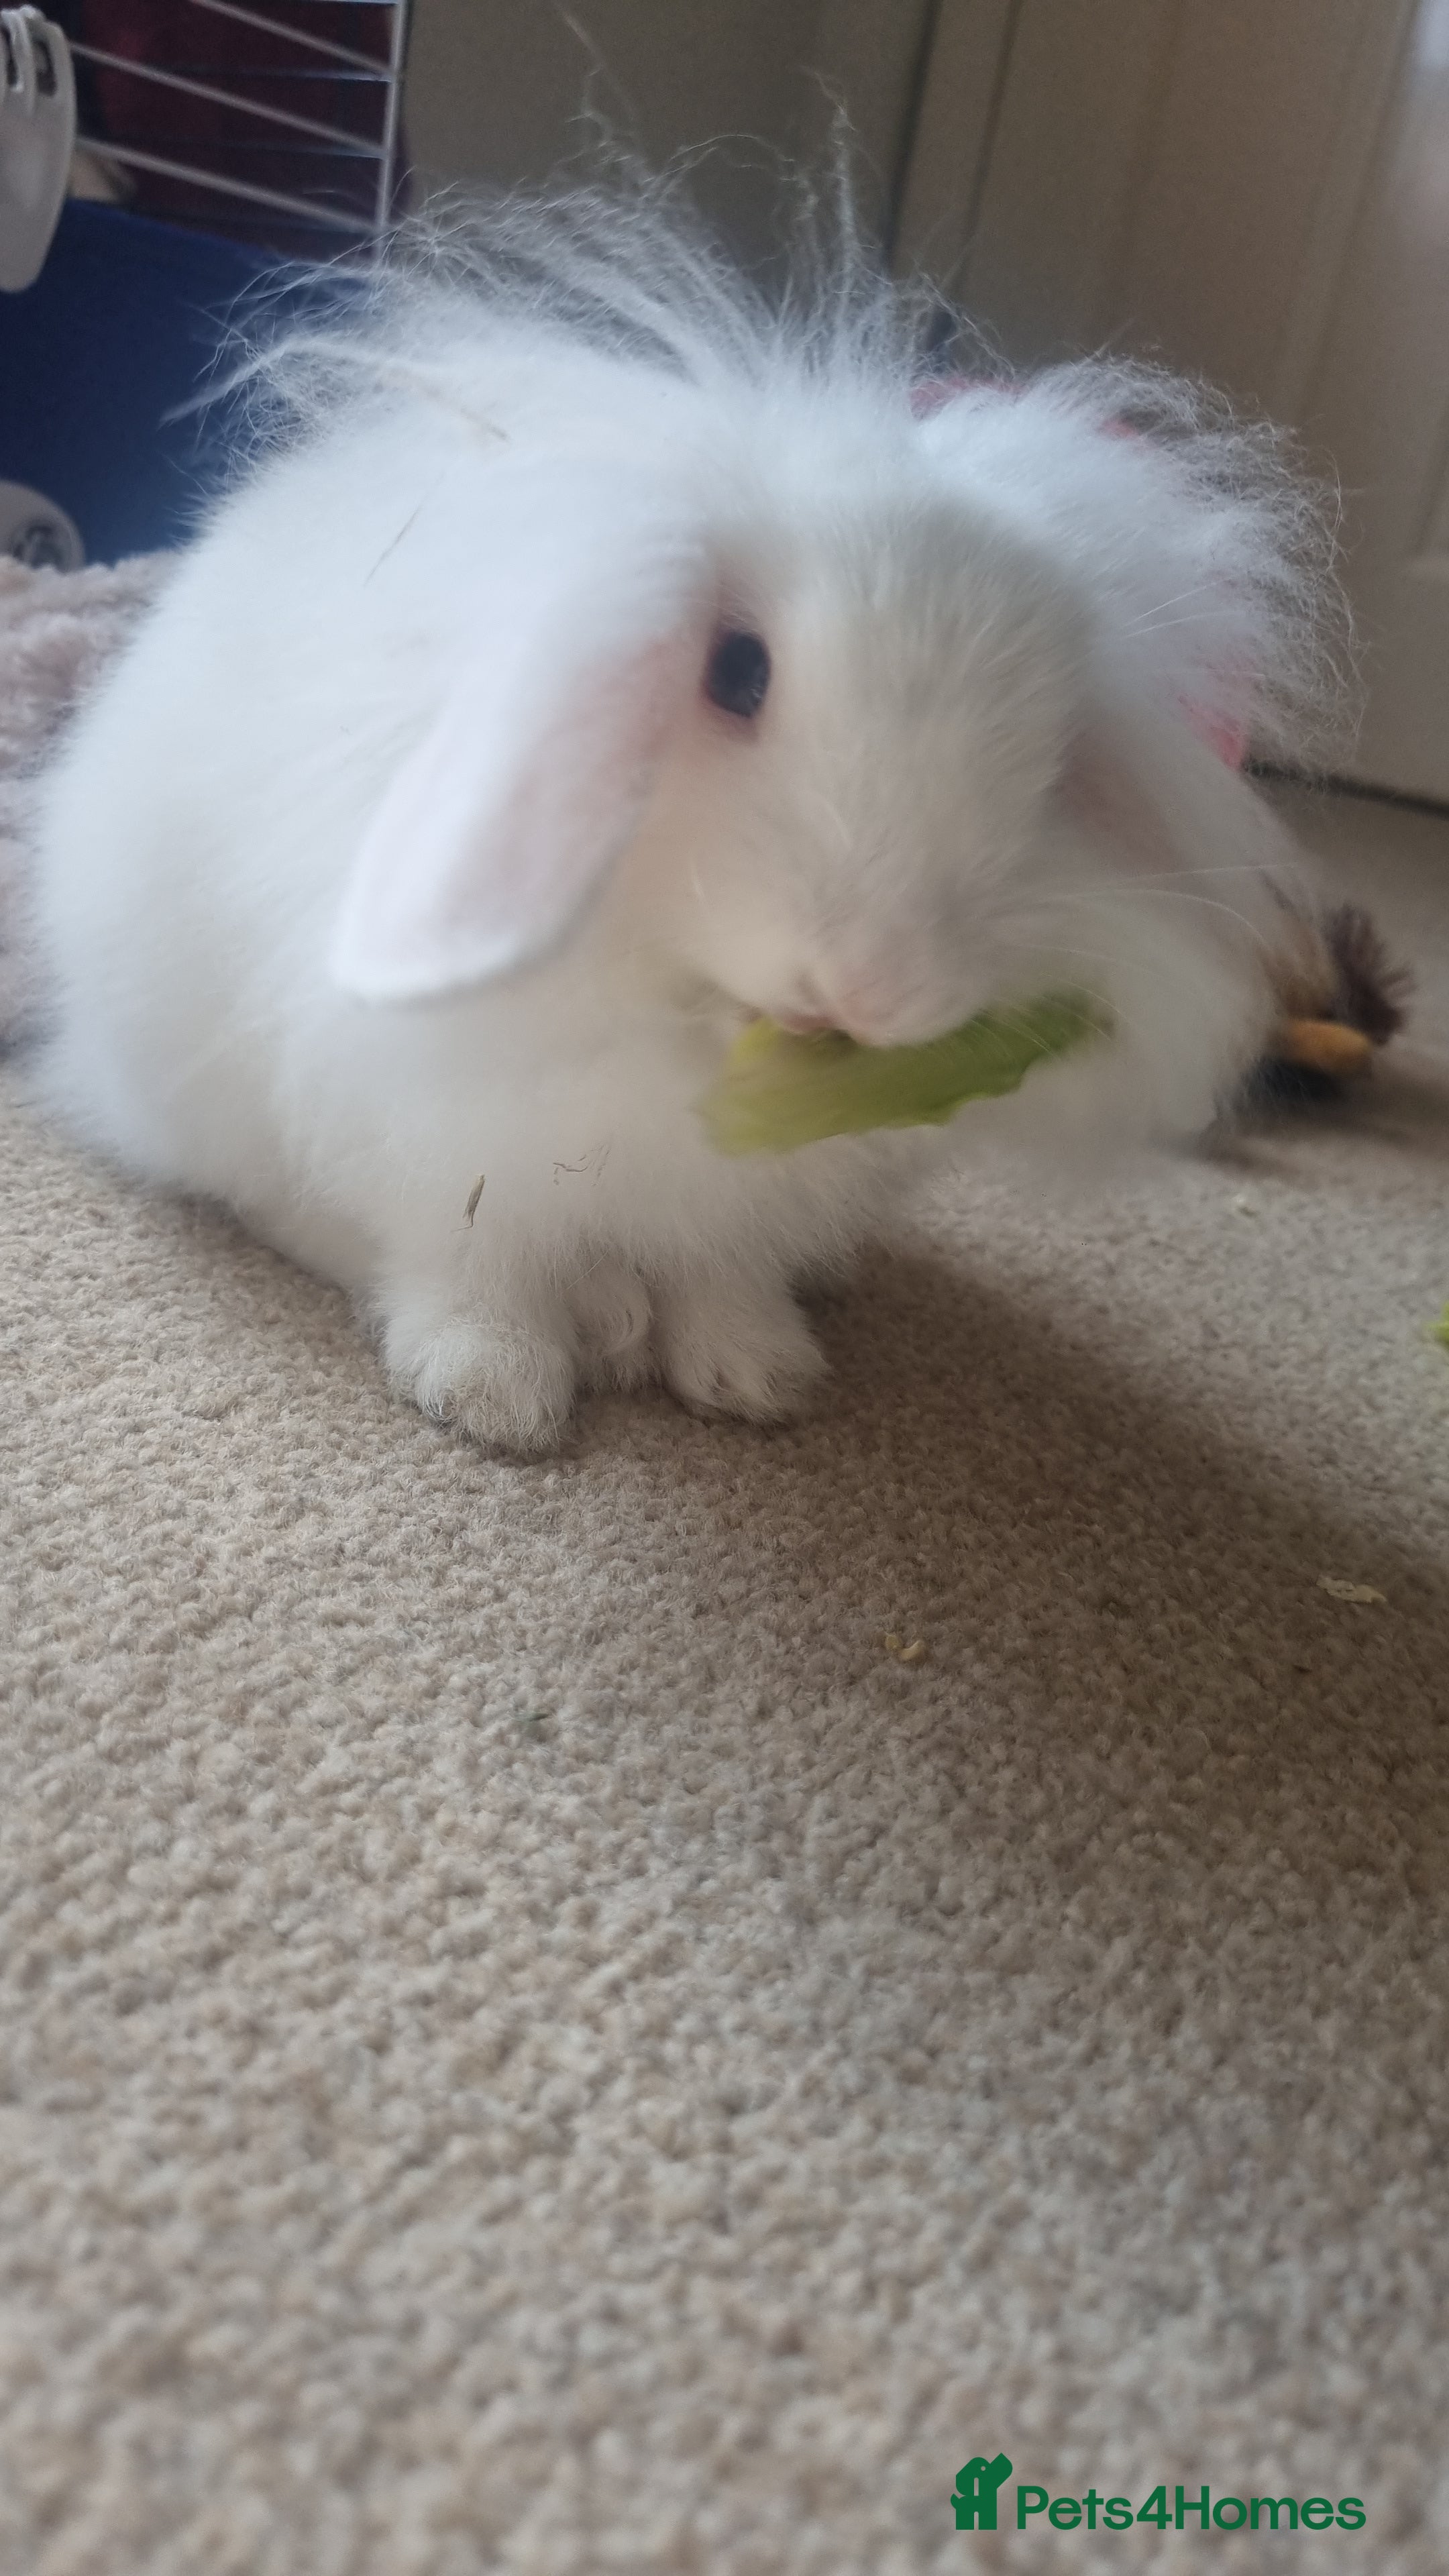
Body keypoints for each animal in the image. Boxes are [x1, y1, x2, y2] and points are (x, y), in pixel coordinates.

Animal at [29, 183, 1345, 1452]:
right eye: (735, 672)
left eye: (1060, 759)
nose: (872, 990)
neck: (669, 1030)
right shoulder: (437, 1130)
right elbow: (472, 1259)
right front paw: (497, 1394)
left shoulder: (746, 1195)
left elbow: (722, 1272)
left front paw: (756, 1376)